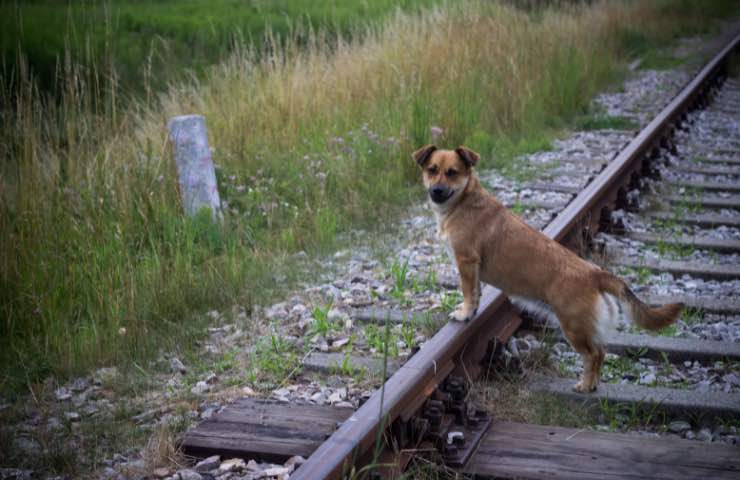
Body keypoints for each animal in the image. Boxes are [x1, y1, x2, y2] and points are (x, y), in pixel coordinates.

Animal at [414, 144, 684, 392]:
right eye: (432, 170)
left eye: (452, 173)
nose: (436, 190)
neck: (464, 201)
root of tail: (595, 273)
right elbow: (476, 293)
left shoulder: (467, 262)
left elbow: (469, 293)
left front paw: (464, 313)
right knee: (602, 352)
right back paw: (593, 384)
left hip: (574, 327)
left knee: (593, 354)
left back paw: (585, 386)